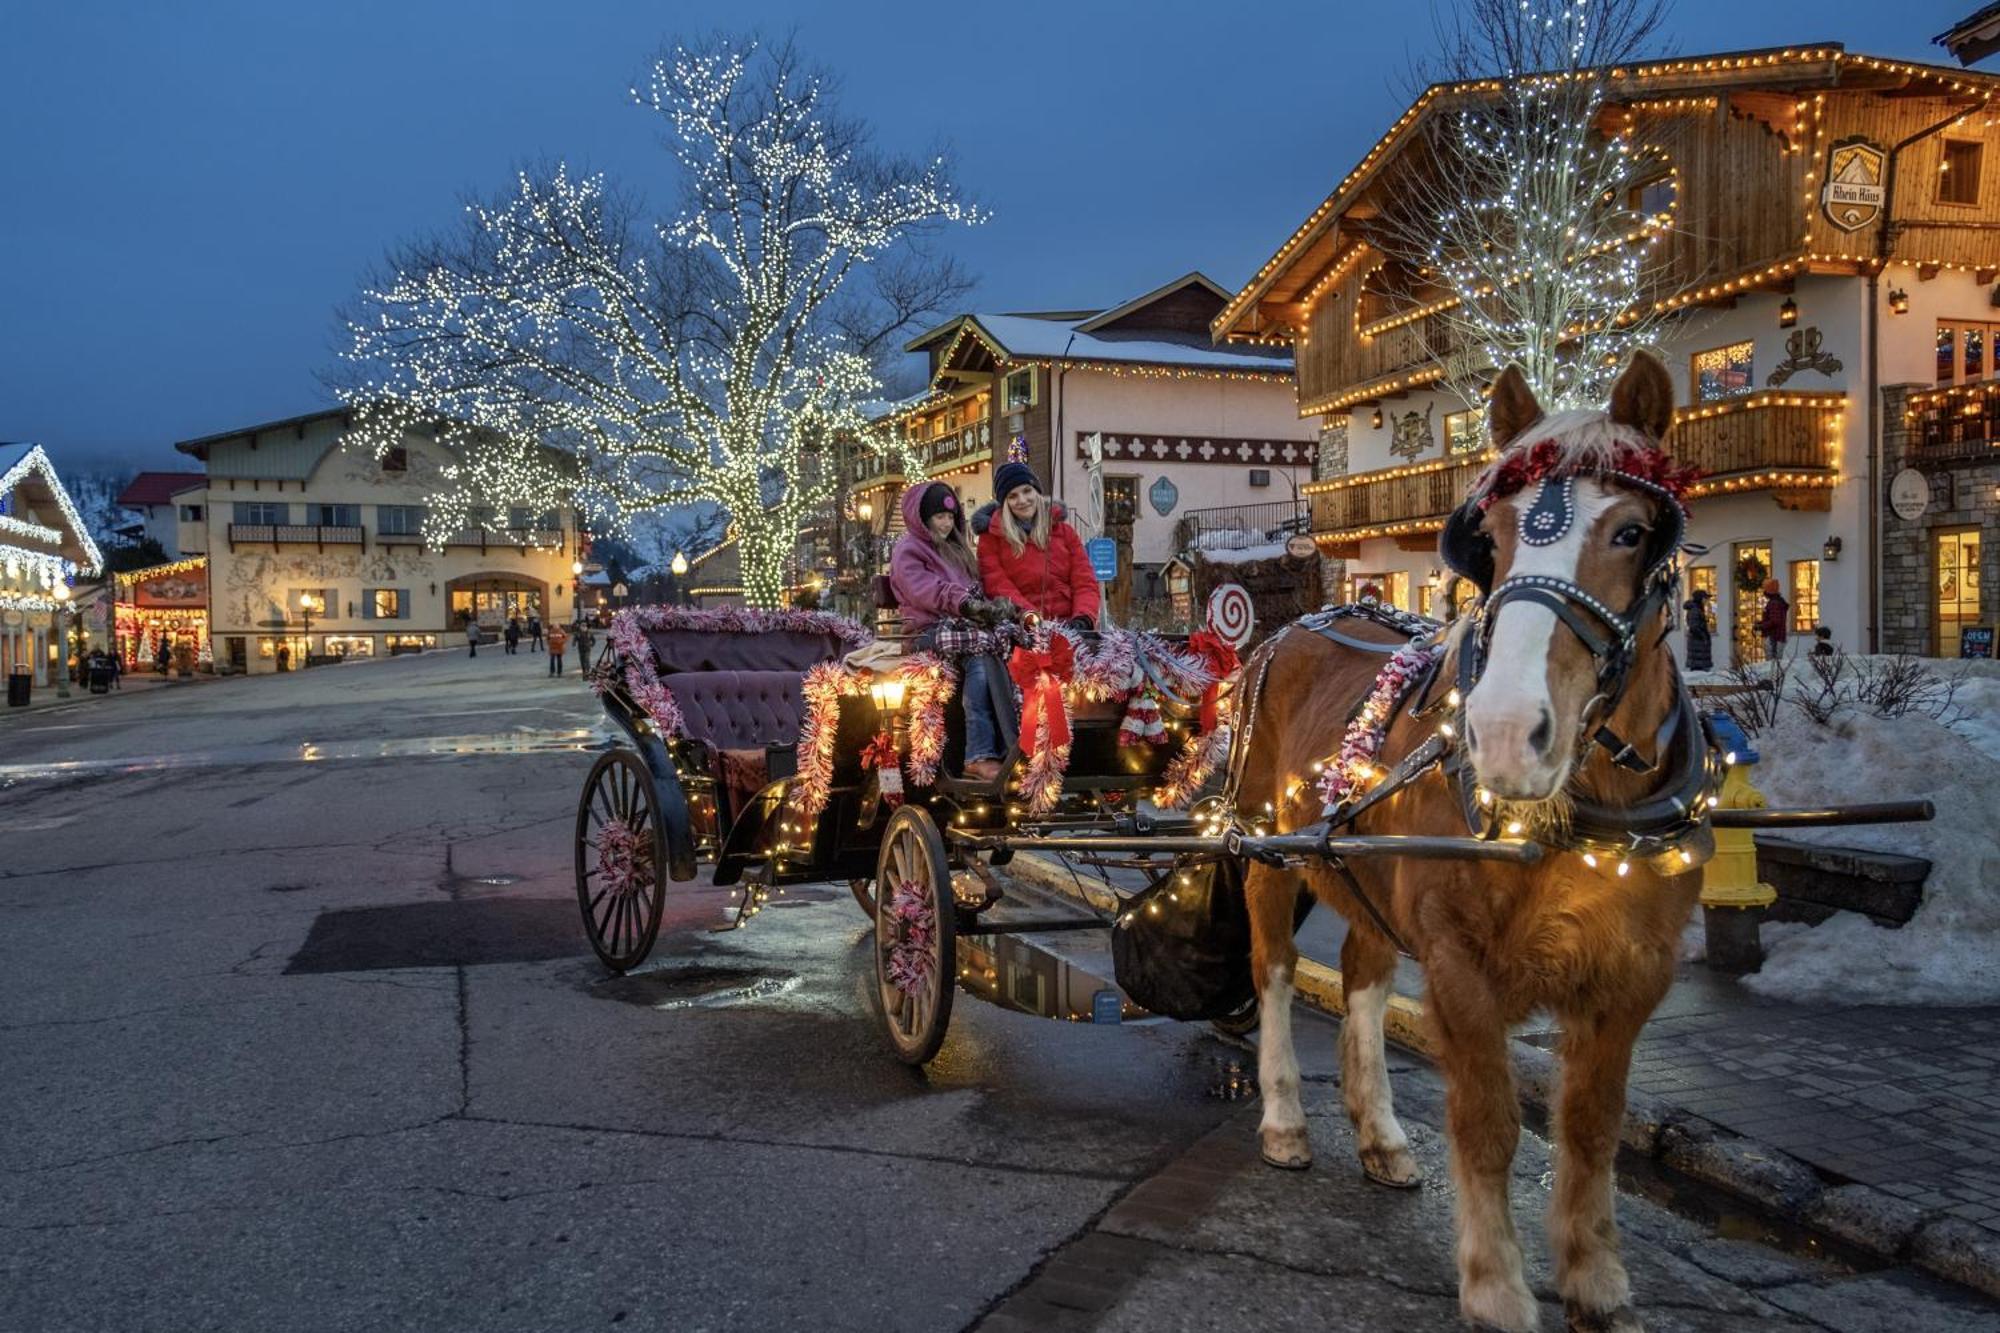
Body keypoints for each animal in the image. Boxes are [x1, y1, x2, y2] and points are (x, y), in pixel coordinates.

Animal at [1240, 352, 1712, 1328]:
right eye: (1488, 538)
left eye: (1633, 531)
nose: (1501, 733)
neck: (1582, 809)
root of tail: (1289, 627)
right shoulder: (1458, 960)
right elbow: (1489, 1122)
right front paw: (1495, 1281)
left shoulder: (1633, 973)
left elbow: (1591, 1125)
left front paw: (1595, 1276)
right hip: (1269, 851)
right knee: (1274, 972)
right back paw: (1285, 1119)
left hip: (1367, 874)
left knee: (1362, 976)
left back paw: (1380, 1132)